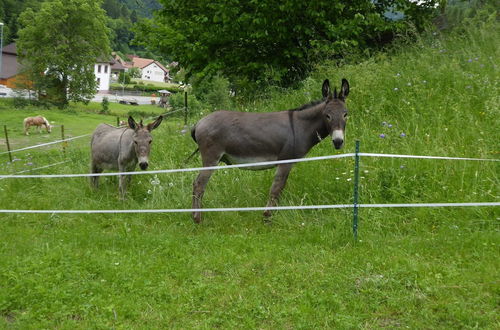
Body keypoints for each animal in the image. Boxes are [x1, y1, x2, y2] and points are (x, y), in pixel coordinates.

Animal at [189, 77, 350, 223]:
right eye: (327, 116)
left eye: (345, 114)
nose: (338, 142)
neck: (300, 126)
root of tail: (200, 122)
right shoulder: (285, 162)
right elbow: (276, 188)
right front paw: (267, 217)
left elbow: (280, 188)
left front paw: (272, 215)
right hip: (211, 158)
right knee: (199, 184)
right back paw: (197, 219)